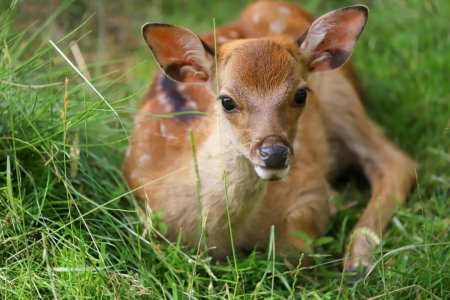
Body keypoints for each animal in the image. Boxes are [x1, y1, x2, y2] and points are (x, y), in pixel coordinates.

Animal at [121, 0, 416, 270]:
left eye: (301, 94)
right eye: (227, 101)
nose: (274, 154)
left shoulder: (308, 182)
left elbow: (296, 248)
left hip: (341, 95)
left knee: (397, 161)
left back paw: (357, 259)